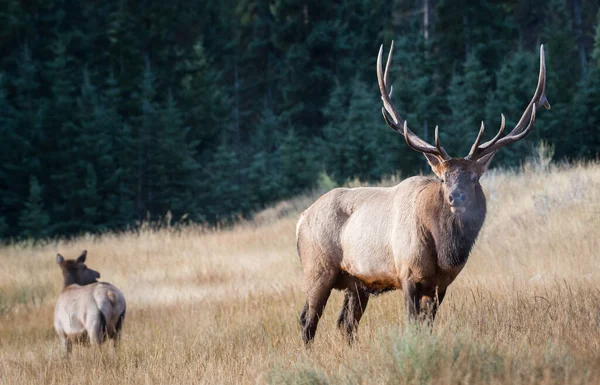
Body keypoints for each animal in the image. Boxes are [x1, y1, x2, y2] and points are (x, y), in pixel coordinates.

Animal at [296, 43, 548, 344]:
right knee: (308, 320)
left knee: (345, 323)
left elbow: (427, 326)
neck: (444, 251)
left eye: (474, 178)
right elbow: (411, 323)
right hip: (318, 268)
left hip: (356, 282)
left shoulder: (441, 285)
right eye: (443, 178)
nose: (456, 197)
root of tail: (301, 219)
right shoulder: (408, 274)